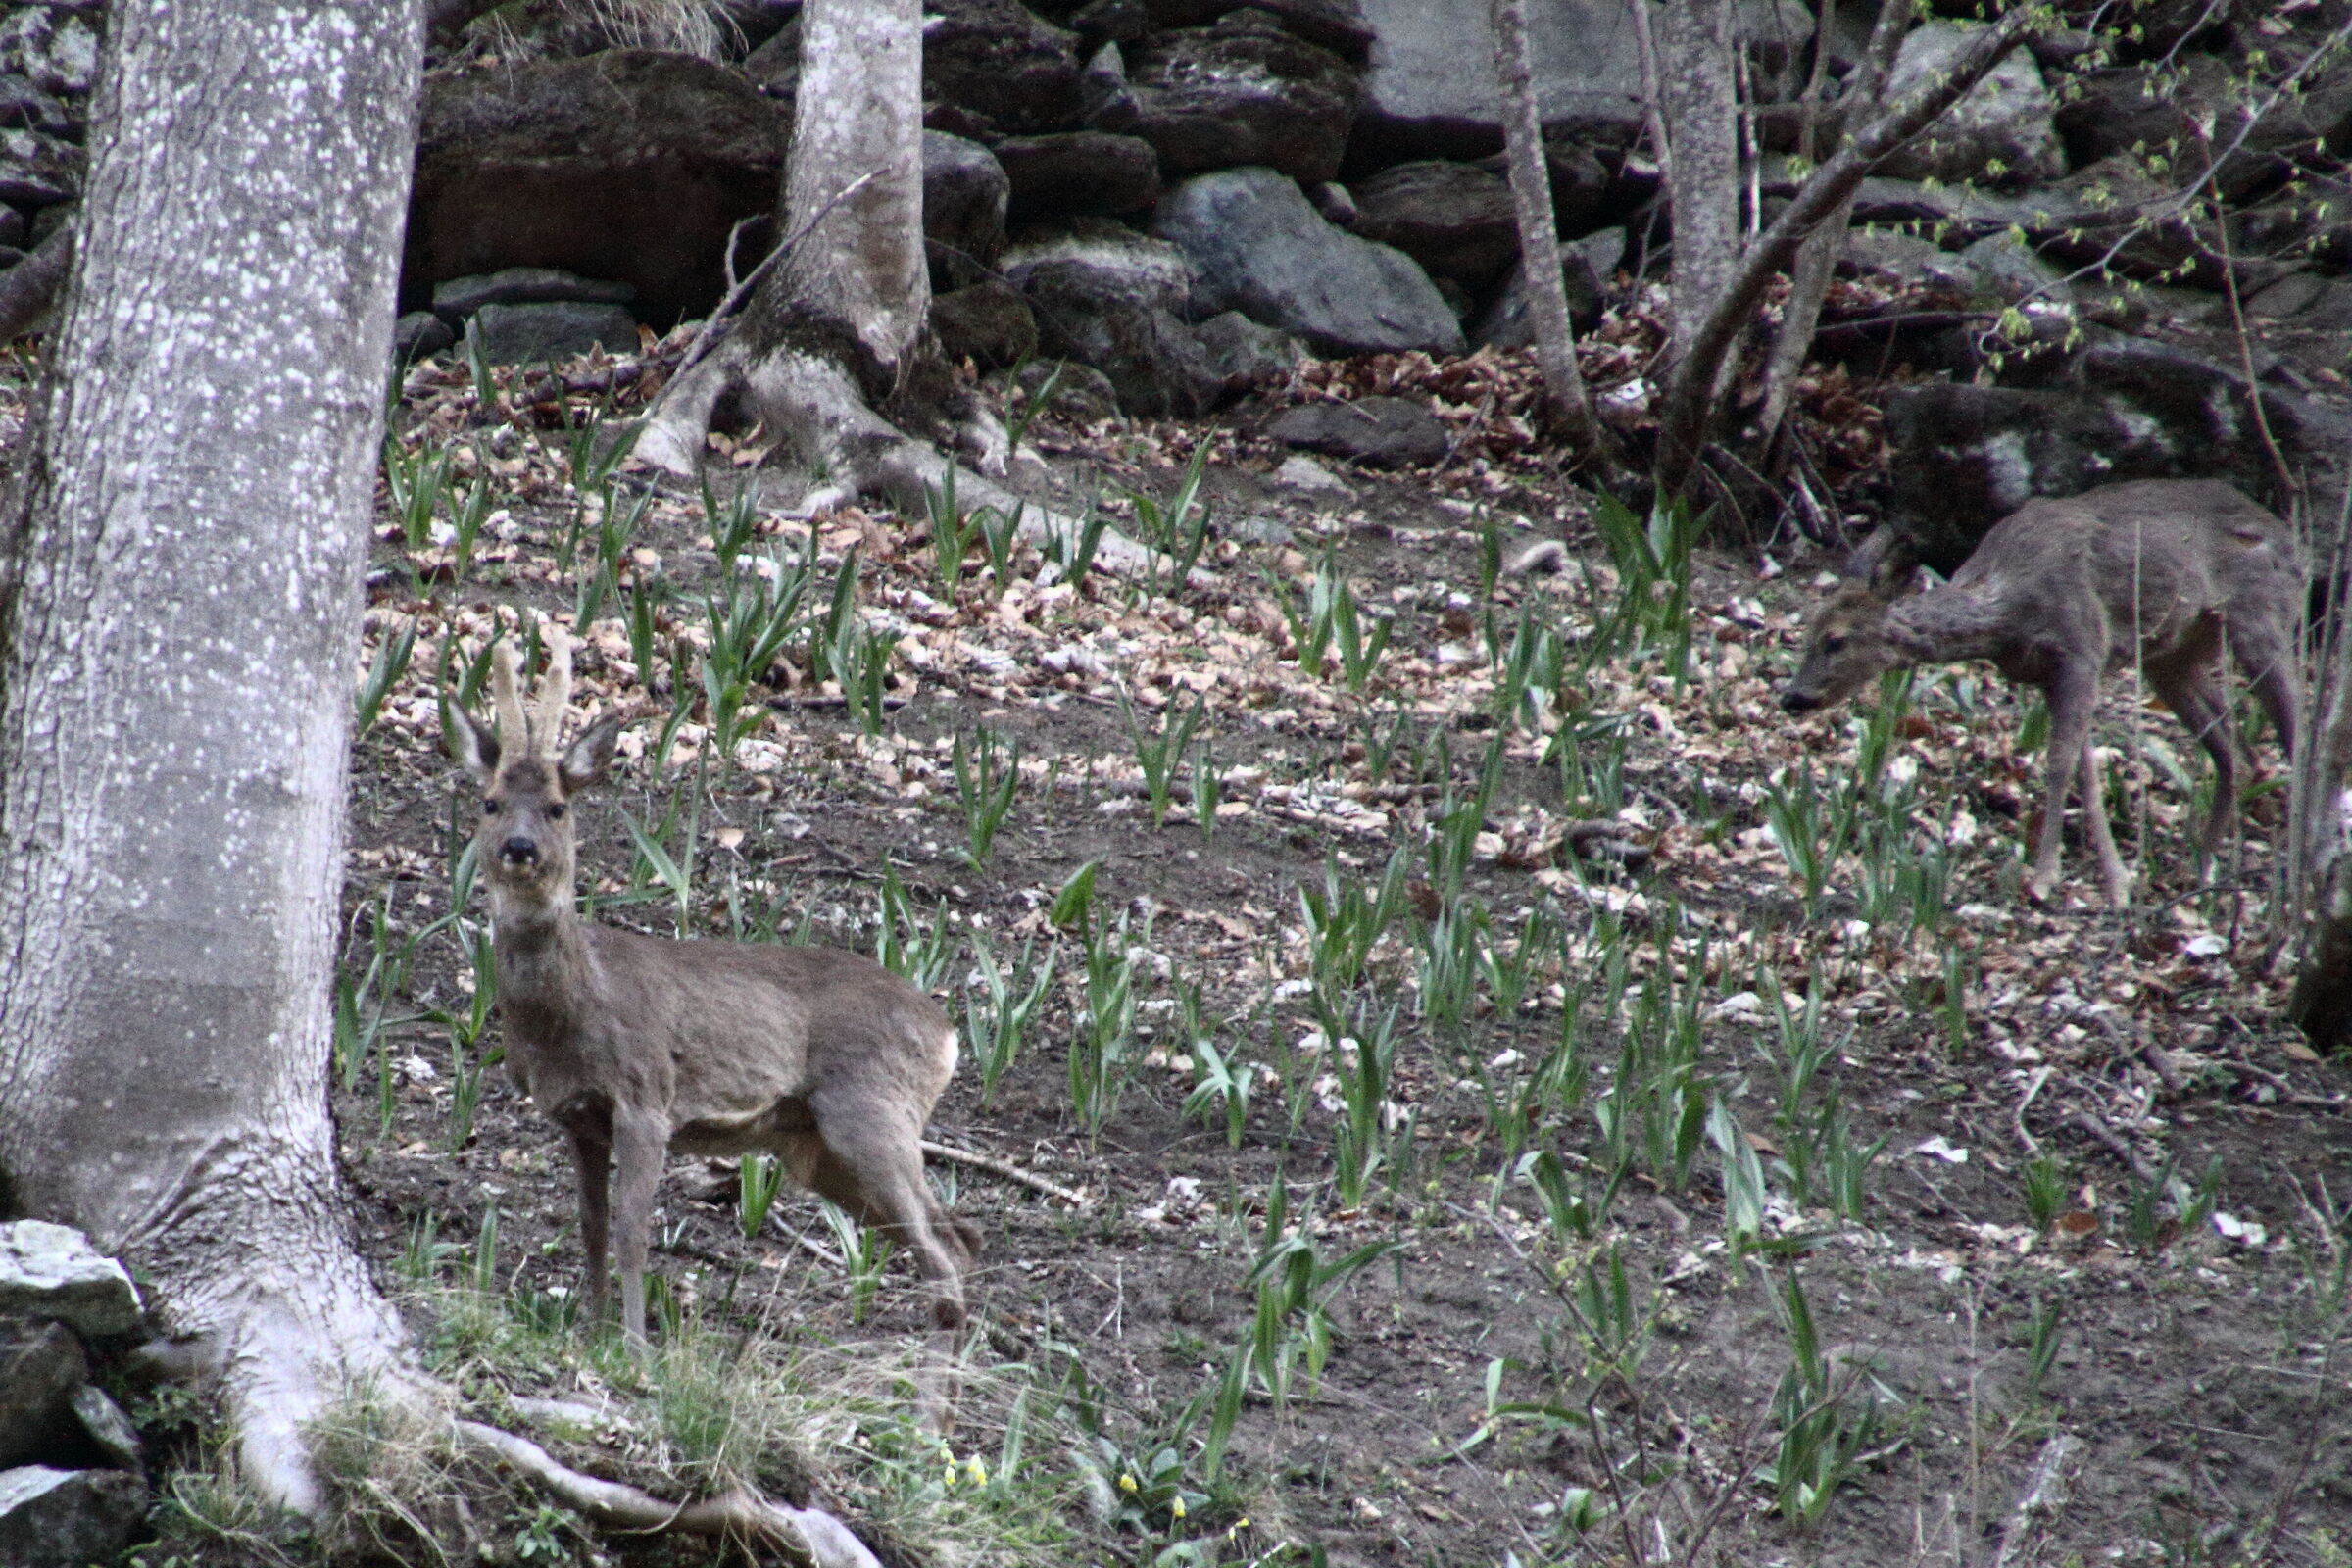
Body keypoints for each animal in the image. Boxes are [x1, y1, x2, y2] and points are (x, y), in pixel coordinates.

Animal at [444, 628, 978, 1422]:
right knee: (961, 1237)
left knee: (942, 1255)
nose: (519, 849)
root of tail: (947, 1033)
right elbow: (591, 1227)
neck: (572, 1014)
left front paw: (636, 1352)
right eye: (489, 802)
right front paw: (590, 1333)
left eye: (559, 807)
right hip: (821, 1150)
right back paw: (947, 1415)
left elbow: (633, 1232)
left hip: (870, 1112)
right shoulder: (577, 1116)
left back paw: (925, 1422)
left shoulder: (646, 1098)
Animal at [1779, 478, 2301, 908]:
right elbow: (2083, 772)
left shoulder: (2082, 648)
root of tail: (2293, 545)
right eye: (1809, 629)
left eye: (1835, 639)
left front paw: (2045, 880)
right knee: (2239, 752)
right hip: (2173, 655)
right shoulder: (2055, 674)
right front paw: (2117, 883)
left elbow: (2058, 765)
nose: (1793, 696)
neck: (2008, 608)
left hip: (2261, 619)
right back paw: (2205, 868)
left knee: (2296, 729)